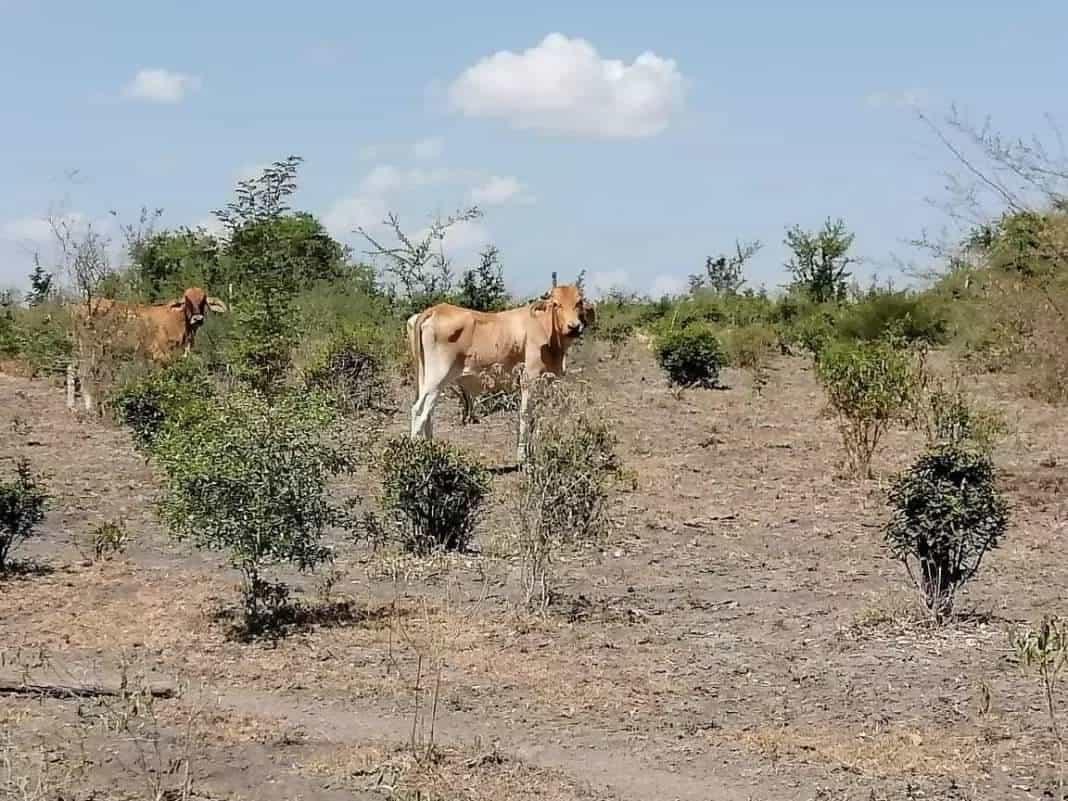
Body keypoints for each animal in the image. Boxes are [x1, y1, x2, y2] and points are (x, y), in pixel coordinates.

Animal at [64, 288, 227, 414]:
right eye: (186, 300)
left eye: (203, 300)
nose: (197, 318)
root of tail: (79, 306)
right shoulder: (160, 356)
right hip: (89, 346)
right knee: (84, 372)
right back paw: (89, 407)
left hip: (79, 346)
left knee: (72, 368)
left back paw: (72, 406)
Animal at [405, 284, 593, 463]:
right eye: (556, 304)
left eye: (579, 302)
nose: (574, 327)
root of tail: (436, 309)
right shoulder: (529, 379)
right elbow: (525, 414)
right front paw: (522, 456)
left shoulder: (544, 383)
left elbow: (535, 416)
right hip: (437, 378)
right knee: (419, 410)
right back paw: (416, 452)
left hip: (426, 379)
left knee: (428, 412)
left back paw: (430, 447)